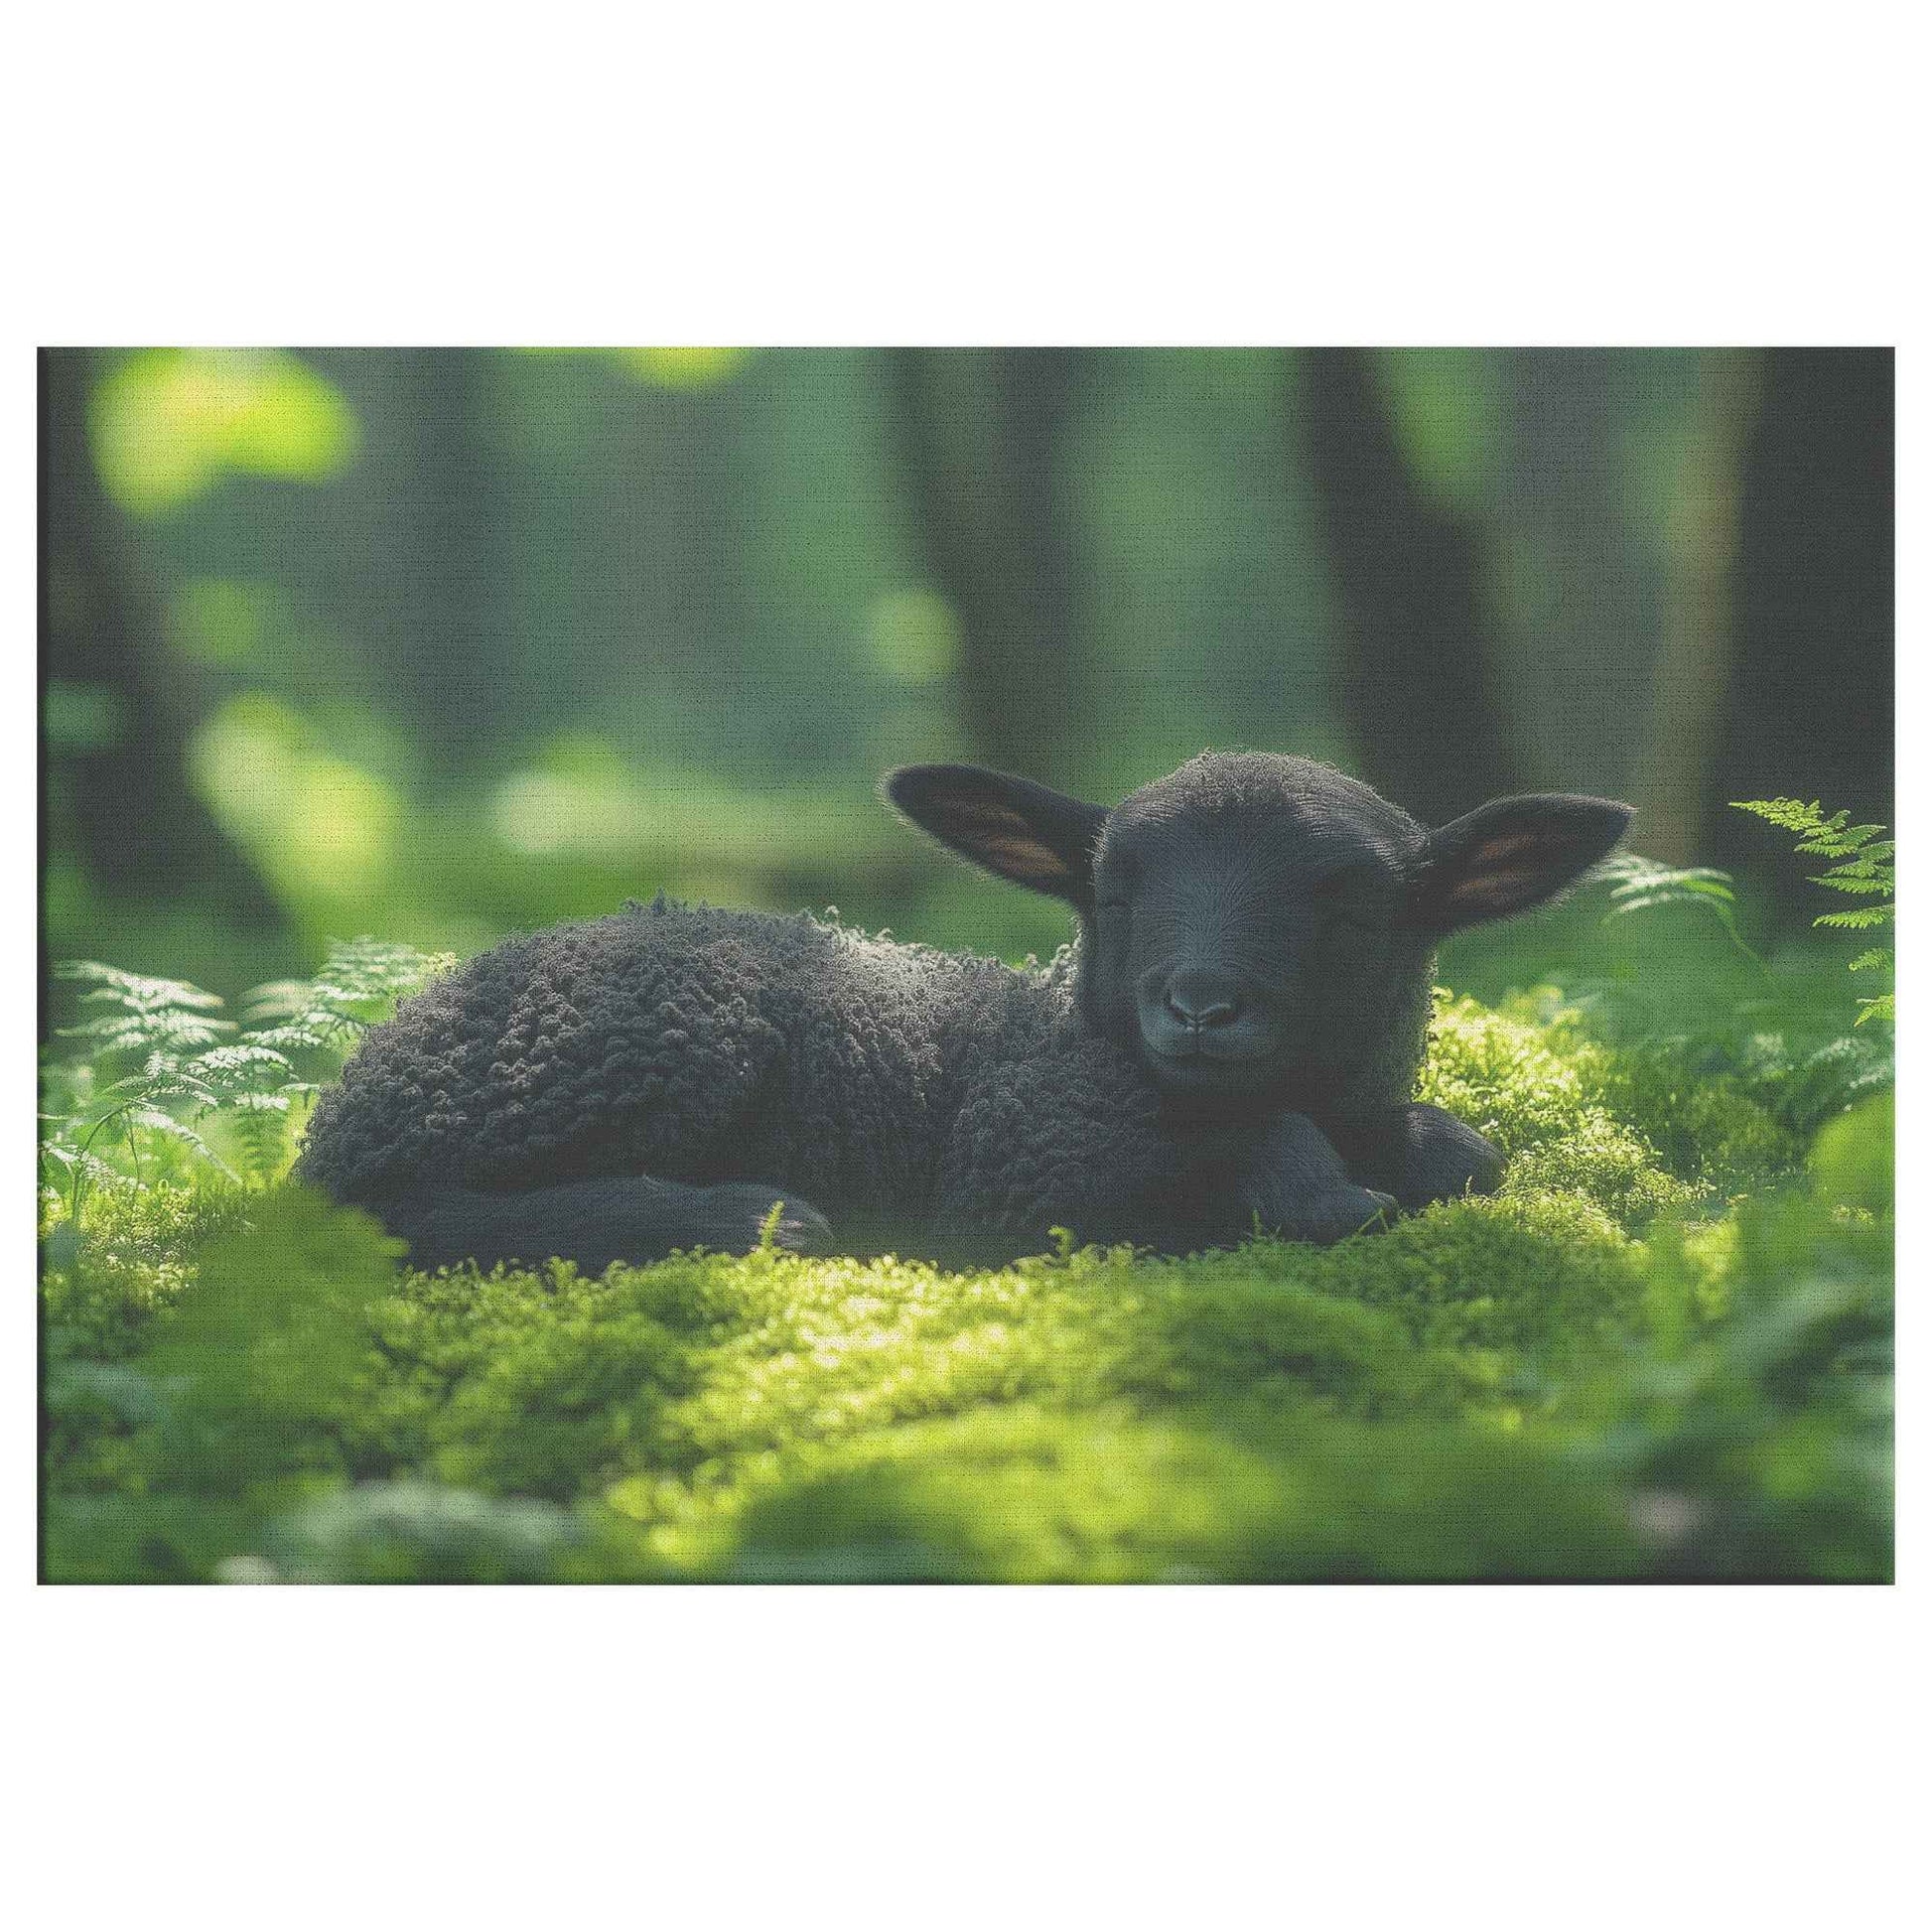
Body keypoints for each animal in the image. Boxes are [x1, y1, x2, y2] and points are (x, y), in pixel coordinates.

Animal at [295, 753, 1632, 1270]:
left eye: (1350, 907)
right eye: (1112, 891)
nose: (1201, 1006)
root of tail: (352, 1086)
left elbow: (1460, 1151)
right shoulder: (1019, 1162)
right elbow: (1307, 1173)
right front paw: (1330, 1195)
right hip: (638, 1046)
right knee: (403, 1214)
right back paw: (751, 1217)